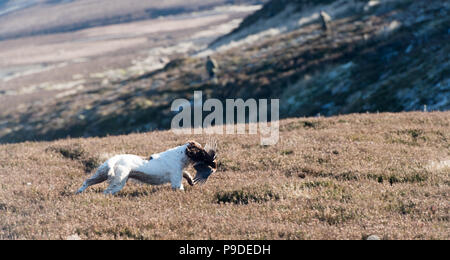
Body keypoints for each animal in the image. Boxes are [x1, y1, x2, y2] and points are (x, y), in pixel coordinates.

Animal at [76, 141, 217, 194]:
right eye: (201, 152)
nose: (213, 161)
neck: (180, 156)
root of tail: (114, 159)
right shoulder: (176, 179)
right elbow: (180, 187)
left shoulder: (179, 172)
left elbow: (186, 173)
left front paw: (191, 181)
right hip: (119, 181)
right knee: (106, 191)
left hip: (102, 174)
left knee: (87, 181)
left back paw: (78, 192)